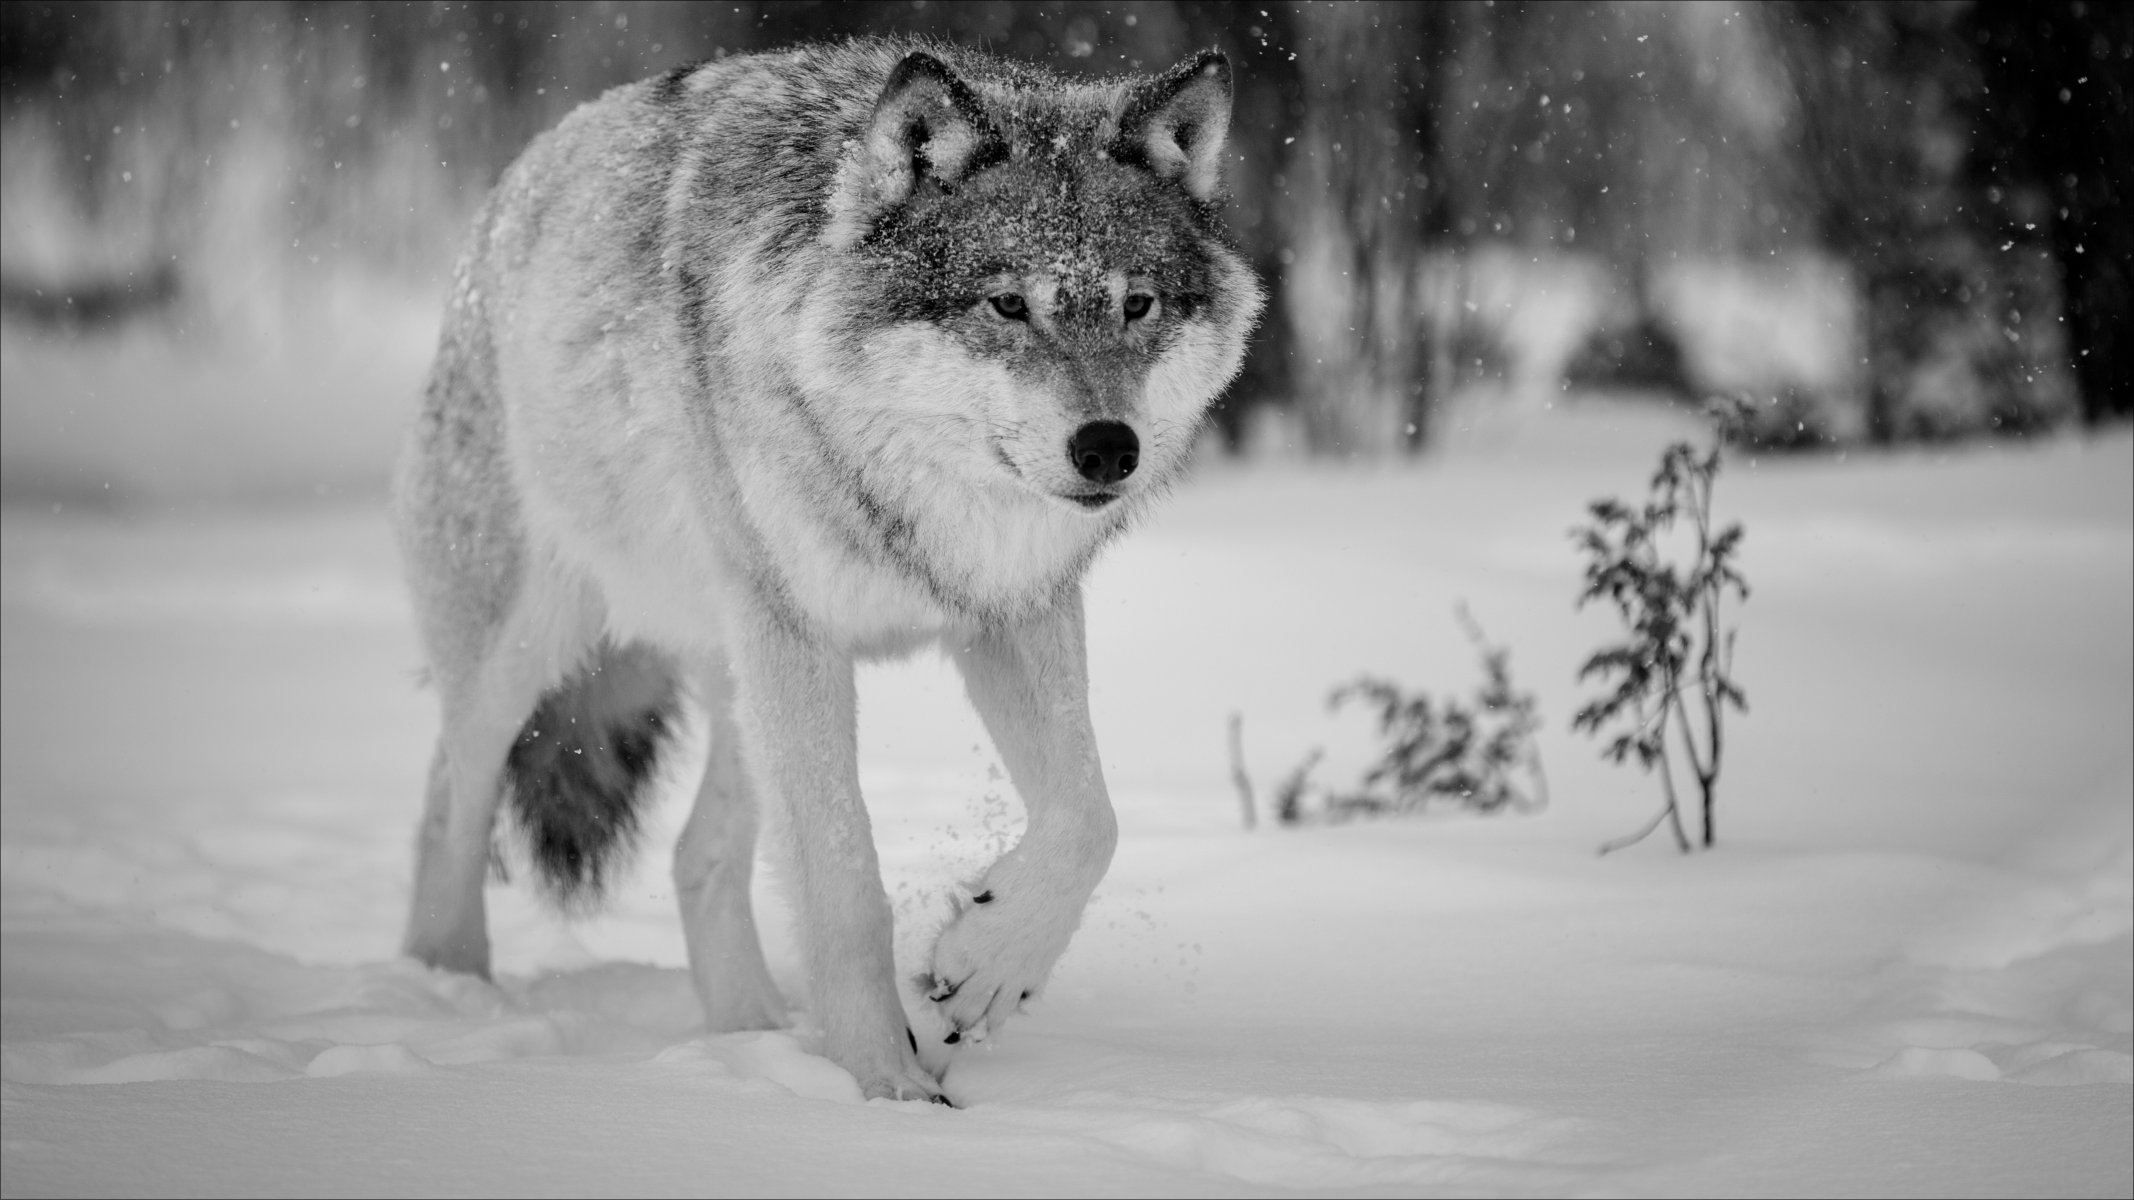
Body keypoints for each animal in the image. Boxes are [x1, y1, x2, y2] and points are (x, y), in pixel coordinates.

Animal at [392, 37, 1261, 1104]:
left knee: (697, 857)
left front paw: (986, 968)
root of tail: (516, 183)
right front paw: (885, 1091)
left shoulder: (1011, 613)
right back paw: (446, 999)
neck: (915, 500)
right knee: (448, 804)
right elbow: (846, 880)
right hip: (528, 655)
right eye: (1008, 304)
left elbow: (1090, 820)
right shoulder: (799, 636)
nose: (1108, 449)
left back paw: (753, 1039)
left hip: (737, 683)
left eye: (1138, 304)